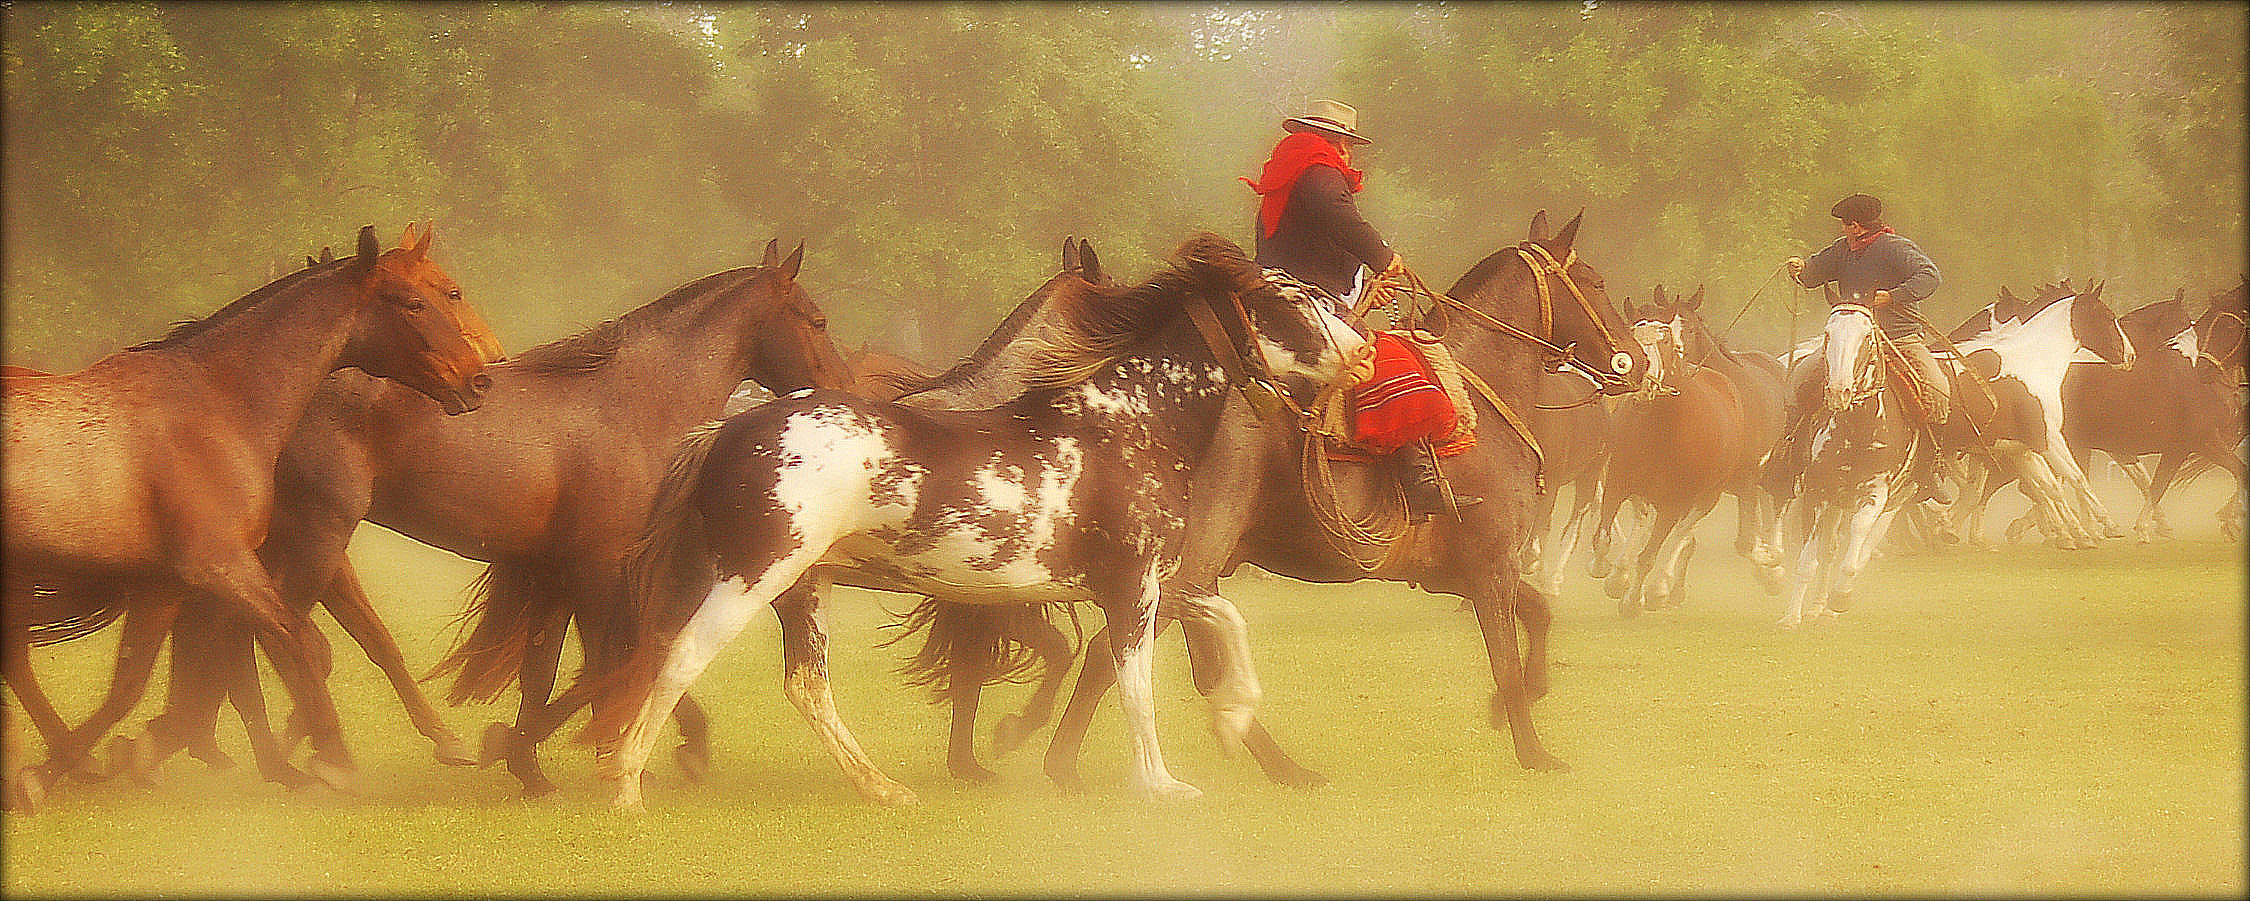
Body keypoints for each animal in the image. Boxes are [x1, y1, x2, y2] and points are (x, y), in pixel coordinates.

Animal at [1, 222, 501, 801]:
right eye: (418, 300)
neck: (216, 406)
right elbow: (297, 642)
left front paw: (60, 768)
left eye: (448, 292)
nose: (479, 377)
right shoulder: (223, 566)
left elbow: (130, 684)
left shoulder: (164, 584)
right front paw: (334, 759)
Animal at [101, 237, 850, 797]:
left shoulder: (556, 568)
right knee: (252, 636)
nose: (843, 393)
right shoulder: (598, 566)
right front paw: (647, 746)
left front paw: (526, 760)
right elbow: (622, 655)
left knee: (244, 637)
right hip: (314, 538)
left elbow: (551, 668)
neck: (633, 400)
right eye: (816, 320)